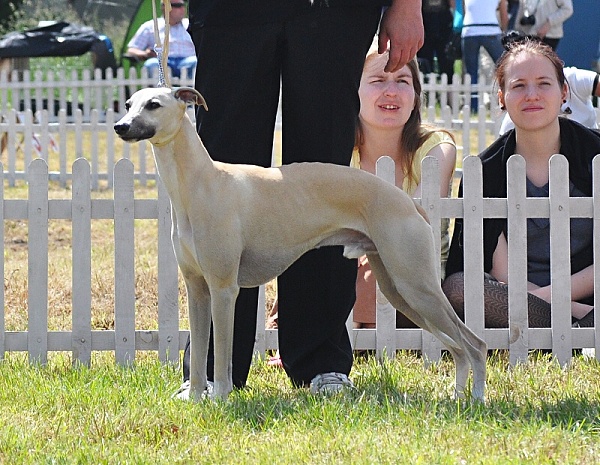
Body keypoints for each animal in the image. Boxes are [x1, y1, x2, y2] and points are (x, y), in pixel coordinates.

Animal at [113, 88, 488, 402]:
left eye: (154, 104)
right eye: (129, 103)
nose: (120, 126)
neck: (203, 183)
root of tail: (408, 202)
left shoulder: (223, 289)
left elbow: (221, 354)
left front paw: (220, 399)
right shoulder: (197, 289)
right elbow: (202, 346)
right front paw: (194, 399)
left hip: (416, 285)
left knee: (475, 343)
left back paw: (478, 400)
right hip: (400, 290)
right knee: (457, 347)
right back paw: (458, 397)